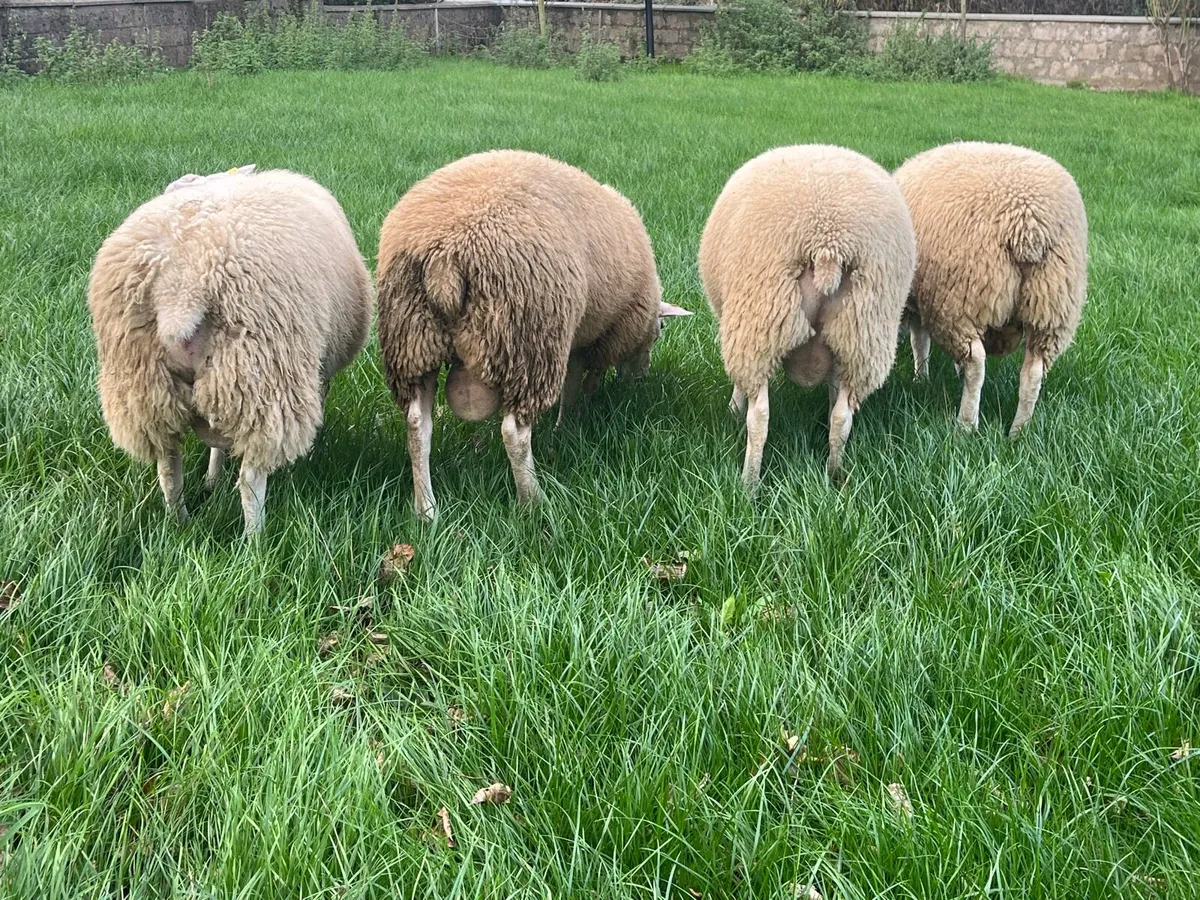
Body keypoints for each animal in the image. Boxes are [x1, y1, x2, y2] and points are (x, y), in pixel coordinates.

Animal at [87, 166, 372, 535]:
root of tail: (180, 289)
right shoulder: (312, 374)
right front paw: (307, 457)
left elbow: (214, 445)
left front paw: (212, 478)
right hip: (260, 375)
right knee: (250, 480)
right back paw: (256, 540)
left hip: (147, 387)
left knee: (168, 468)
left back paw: (180, 523)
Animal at [375, 149, 691, 520]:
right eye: (660, 330)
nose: (641, 376)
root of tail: (444, 259)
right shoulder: (593, 338)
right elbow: (581, 383)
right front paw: (571, 422)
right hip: (529, 338)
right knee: (514, 432)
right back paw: (534, 502)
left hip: (413, 340)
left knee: (416, 427)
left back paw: (426, 510)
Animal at [699, 144, 917, 488]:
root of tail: (828, 243)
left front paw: (733, 407)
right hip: (862, 330)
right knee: (842, 417)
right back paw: (834, 474)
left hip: (761, 318)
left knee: (760, 416)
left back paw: (748, 485)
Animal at [893, 141, 1088, 436]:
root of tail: (1027, 223)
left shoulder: (920, 302)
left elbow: (920, 343)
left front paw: (920, 378)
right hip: (1053, 304)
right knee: (1033, 372)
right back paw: (1018, 432)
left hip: (958, 299)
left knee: (976, 362)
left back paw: (966, 425)